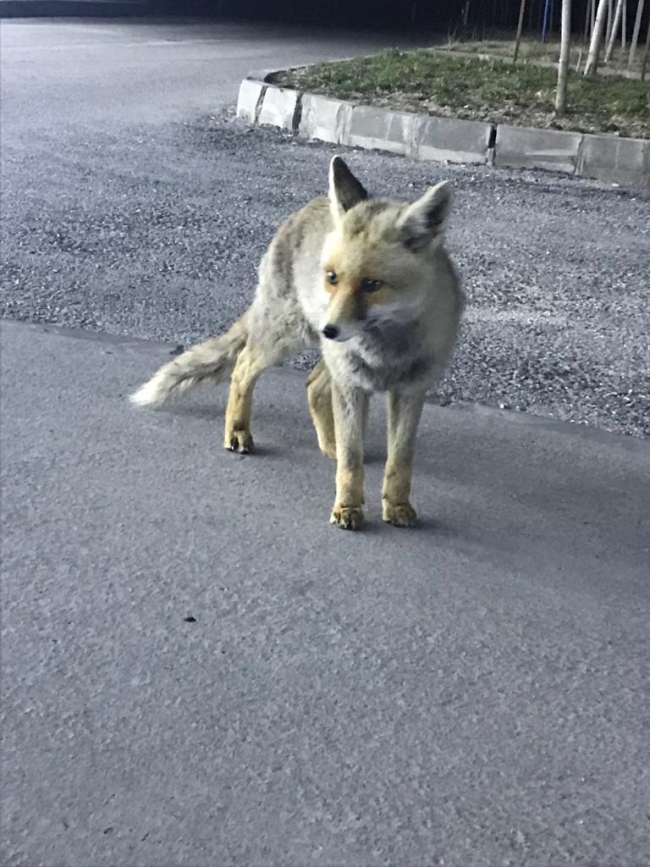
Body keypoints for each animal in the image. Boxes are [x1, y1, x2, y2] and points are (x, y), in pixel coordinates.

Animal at [130, 159, 460, 532]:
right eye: (332, 278)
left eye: (372, 284)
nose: (329, 329)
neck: (384, 352)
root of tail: (307, 207)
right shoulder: (350, 384)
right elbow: (351, 461)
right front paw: (347, 507)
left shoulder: (411, 390)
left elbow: (400, 461)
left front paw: (398, 505)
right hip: (288, 337)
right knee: (243, 367)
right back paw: (237, 432)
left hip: (323, 354)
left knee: (313, 386)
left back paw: (328, 443)